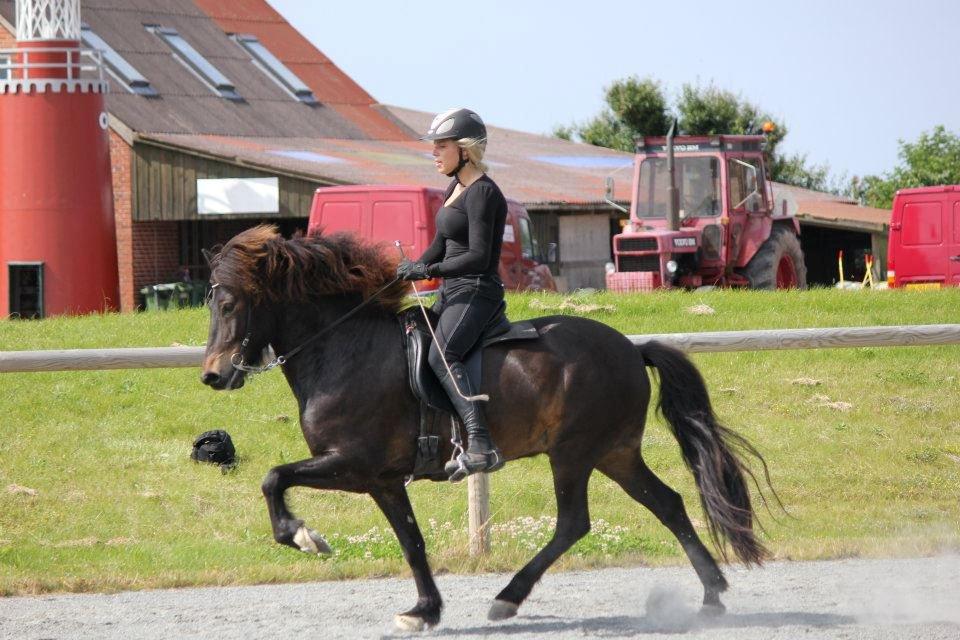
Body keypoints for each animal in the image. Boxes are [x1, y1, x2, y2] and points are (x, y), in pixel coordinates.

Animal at [201, 224, 772, 632]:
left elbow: (273, 477)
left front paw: (302, 536)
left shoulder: (351, 463)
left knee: (574, 523)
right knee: (668, 504)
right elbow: (411, 541)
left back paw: (507, 599)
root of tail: (632, 349)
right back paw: (712, 596)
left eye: (228, 304)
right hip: (615, 453)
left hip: (574, 452)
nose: (213, 376)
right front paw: (424, 610)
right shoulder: (381, 480)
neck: (343, 348)